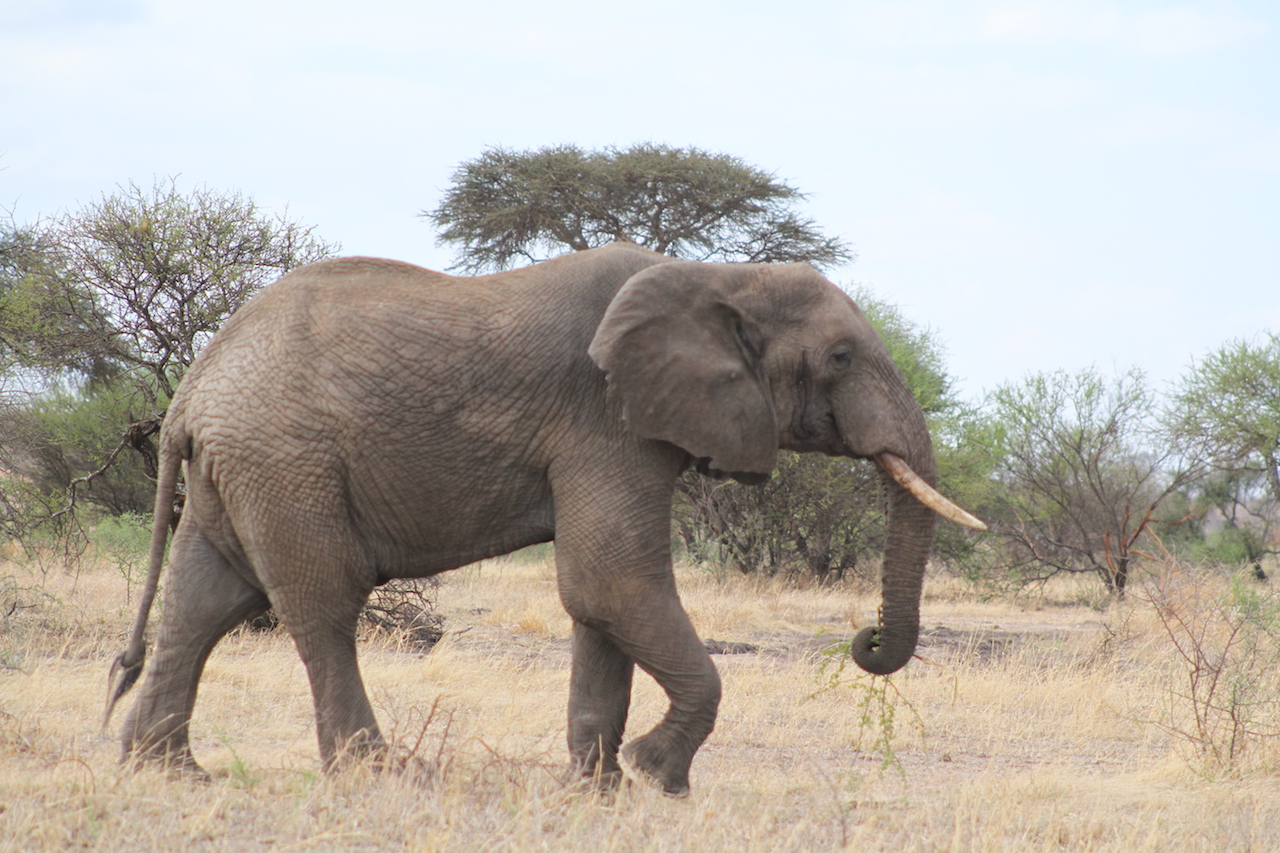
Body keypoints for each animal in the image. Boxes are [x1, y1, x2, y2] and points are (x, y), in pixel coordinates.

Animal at [104, 242, 977, 794]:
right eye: (840, 358)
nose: (864, 638)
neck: (717, 276)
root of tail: (191, 389)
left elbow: (600, 601)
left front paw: (599, 790)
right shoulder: (605, 422)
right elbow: (611, 581)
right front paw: (658, 775)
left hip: (238, 469)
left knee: (205, 601)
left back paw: (169, 772)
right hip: (287, 462)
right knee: (321, 606)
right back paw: (379, 775)